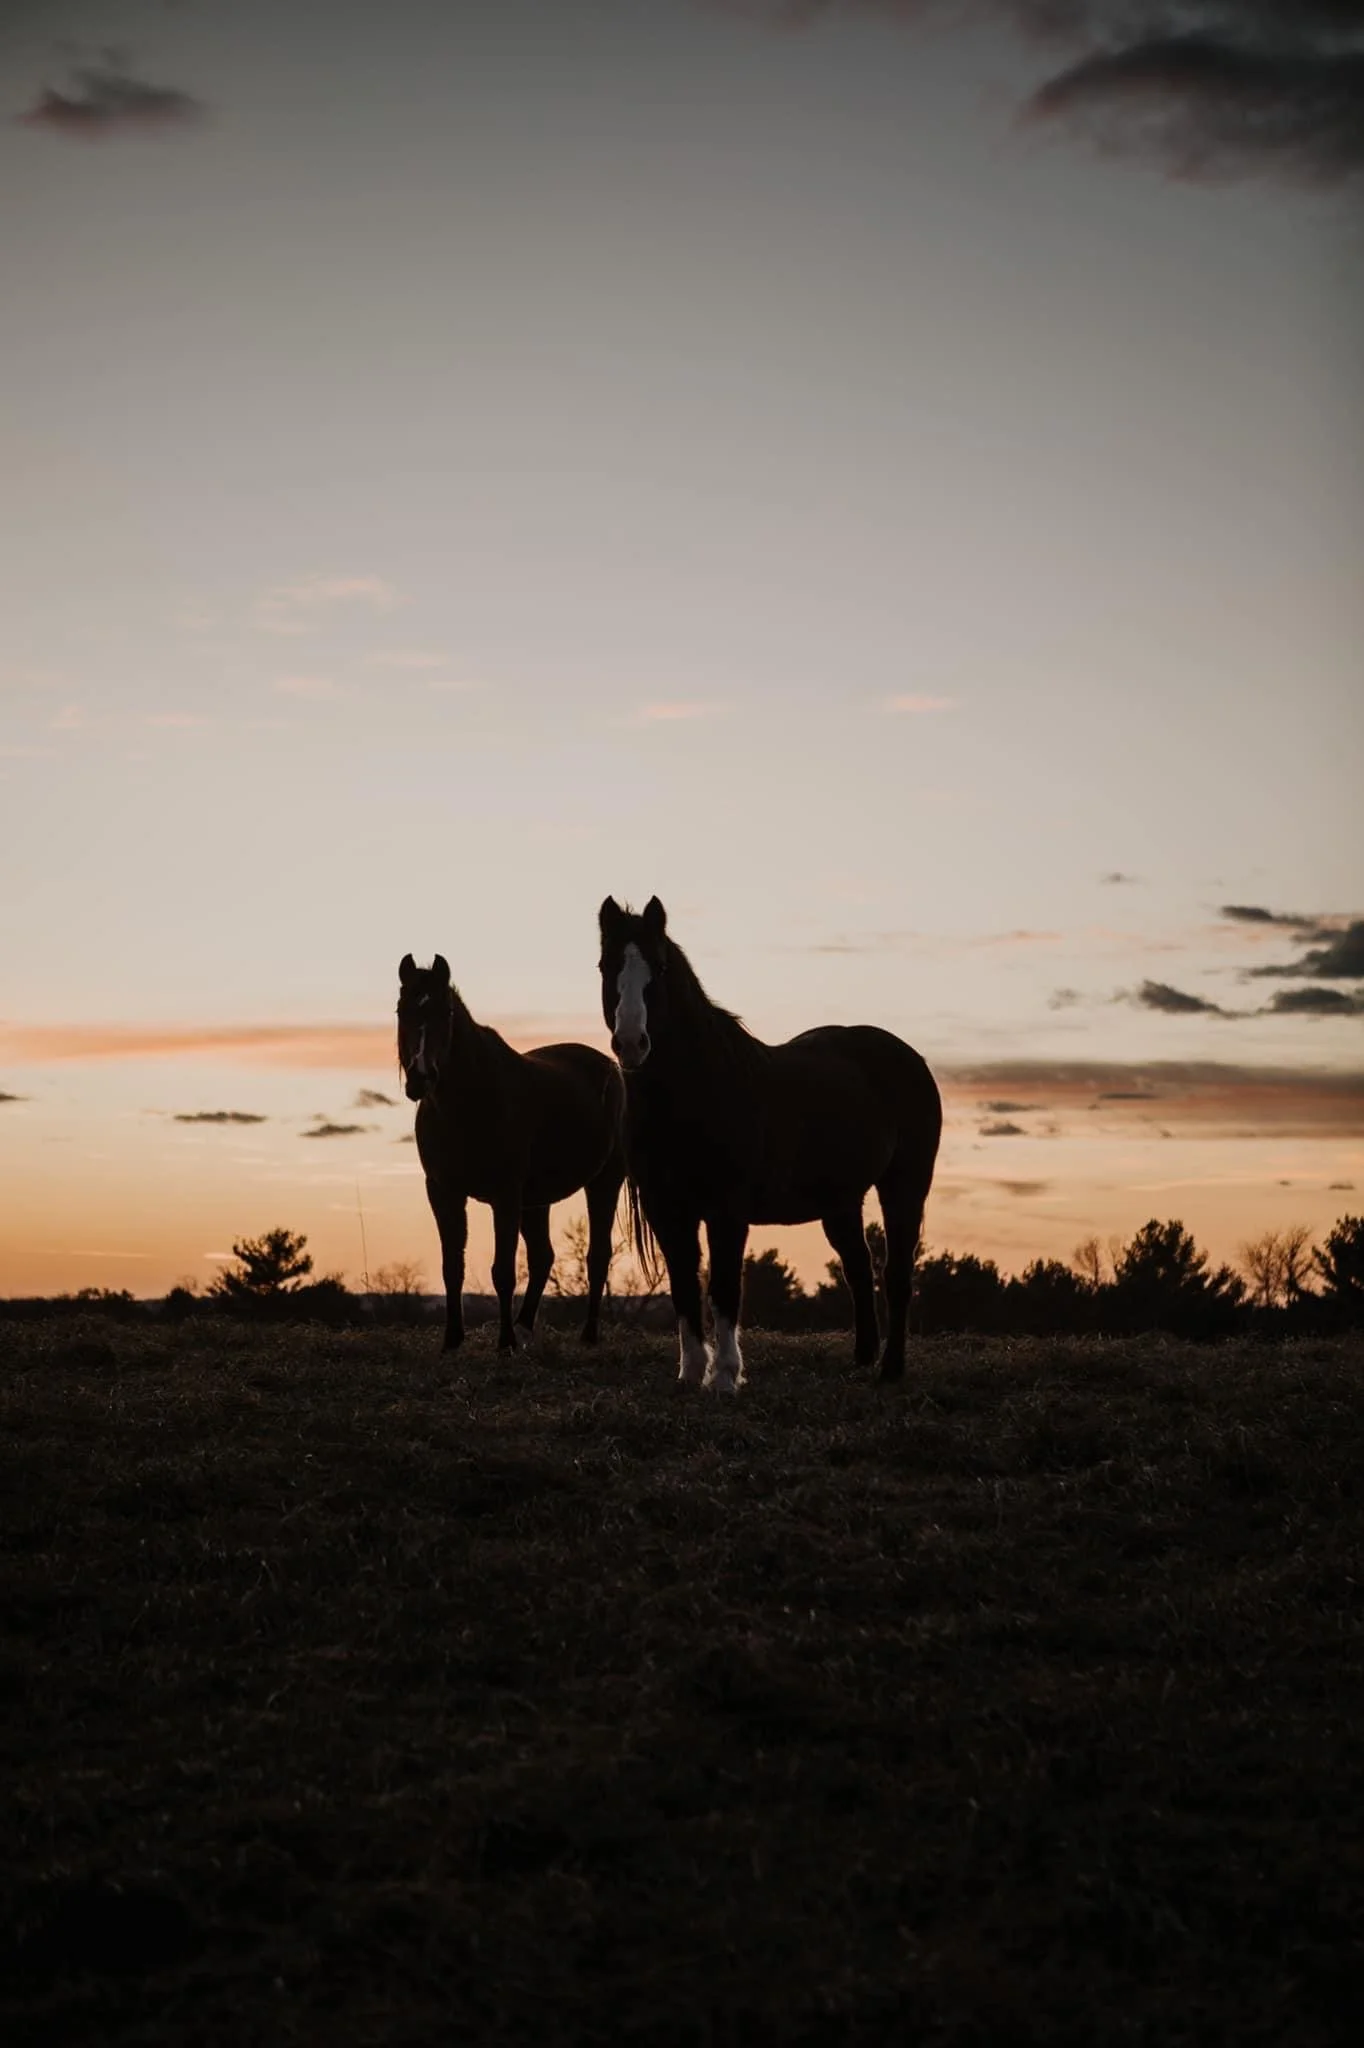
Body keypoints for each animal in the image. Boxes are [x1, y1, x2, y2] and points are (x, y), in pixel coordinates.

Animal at [397, 953, 626, 1354]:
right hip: (536, 1200)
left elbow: (502, 1272)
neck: (469, 1104)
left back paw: (586, 1335)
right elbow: (452, 1267)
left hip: (604, 1182)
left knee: (598, 1256)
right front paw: (452, 1340)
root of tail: (610, 1067)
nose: (420, 1077)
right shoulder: (443, 1192)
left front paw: (504, 1343)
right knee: (542, 1257)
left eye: (445, 1013)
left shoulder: (504, 1195)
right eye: (401, 1010)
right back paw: (524, 1328)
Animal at [597, 897, 942, 1389]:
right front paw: (690, 1374)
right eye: (606, 965)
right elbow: (684, 1284)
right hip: (841, 1202)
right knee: (859, 1268)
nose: (631, 1044)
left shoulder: (726, 1209)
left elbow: (724, 1286)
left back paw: (890, 1370)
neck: (697, 1091)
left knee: (896, 1274)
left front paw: (725, 1377)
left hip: (905, 1187)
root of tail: (907, 1056)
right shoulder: (668, 1209)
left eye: (659, 968)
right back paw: (862, 1360)